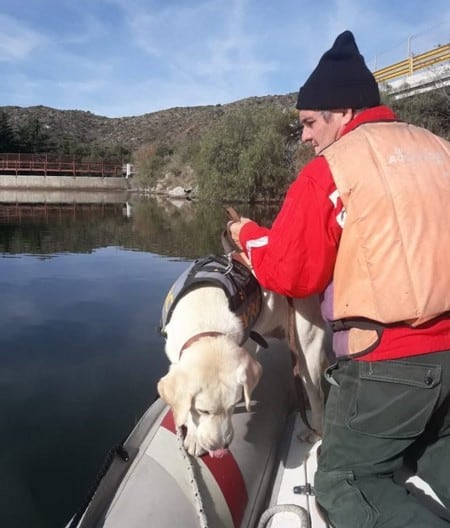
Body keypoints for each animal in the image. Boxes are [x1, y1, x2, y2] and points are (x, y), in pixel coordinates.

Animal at [156, 256, 326, 458]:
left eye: (232, 405)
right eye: (203, 410)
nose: (220, 447)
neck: (204, 319)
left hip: (307, 347)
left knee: (317, 395)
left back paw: (314, 432)